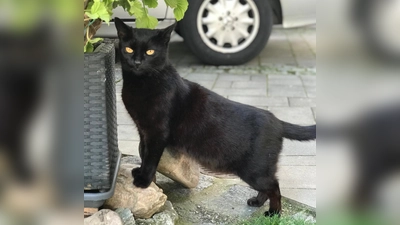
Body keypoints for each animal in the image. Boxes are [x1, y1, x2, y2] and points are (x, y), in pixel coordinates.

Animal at [115, 17, 316, 216]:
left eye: (150, 51)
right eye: (129, 49)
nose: (137, 62)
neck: (140, 85)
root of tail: (277, 121)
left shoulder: (157, 132)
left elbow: (150, 158)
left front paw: (144, 180)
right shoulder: (143, 130)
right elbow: (143, 153)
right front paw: (143, 173)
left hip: (255, 170)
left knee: (274, 186)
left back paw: (274, 212)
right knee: (269, 186)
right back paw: (257, 202)